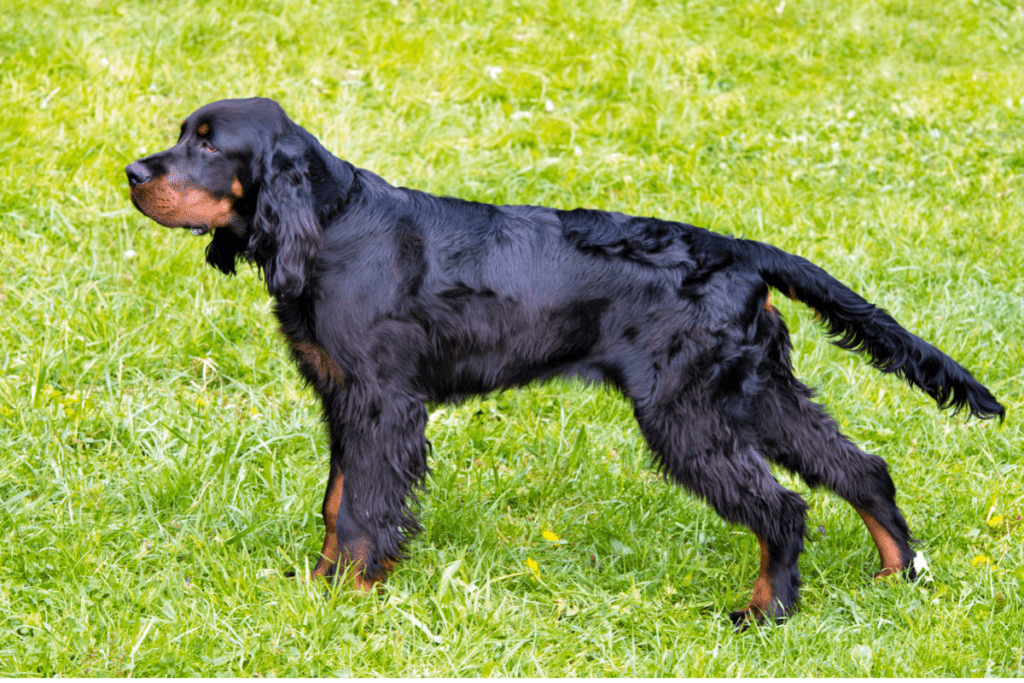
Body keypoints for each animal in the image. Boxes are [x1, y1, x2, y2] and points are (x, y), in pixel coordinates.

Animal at [125, 98, 999, 626]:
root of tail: (741, 250)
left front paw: (356, 591)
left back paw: (763, 612)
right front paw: (321, 584)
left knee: (783, 505)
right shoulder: (343, 397)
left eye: (209, 144)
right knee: (861, 468)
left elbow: (366, 505)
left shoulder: (383, 400)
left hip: (685, 409)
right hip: (754, 391)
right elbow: (339, 499)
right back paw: (896, 574)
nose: (133, 172)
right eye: (182, 133)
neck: (333, 225)